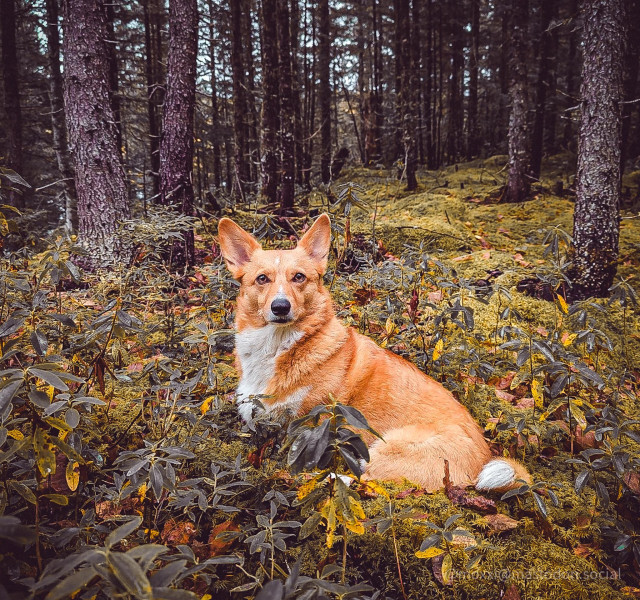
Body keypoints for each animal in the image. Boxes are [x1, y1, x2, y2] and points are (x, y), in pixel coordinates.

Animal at [218, 213, 528, 490]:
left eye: (299, 277)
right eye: (262, 279)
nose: (280, 307)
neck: (277, 346)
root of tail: (482, 463)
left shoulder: (310, 427)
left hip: (388, 446)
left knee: (365, 479)